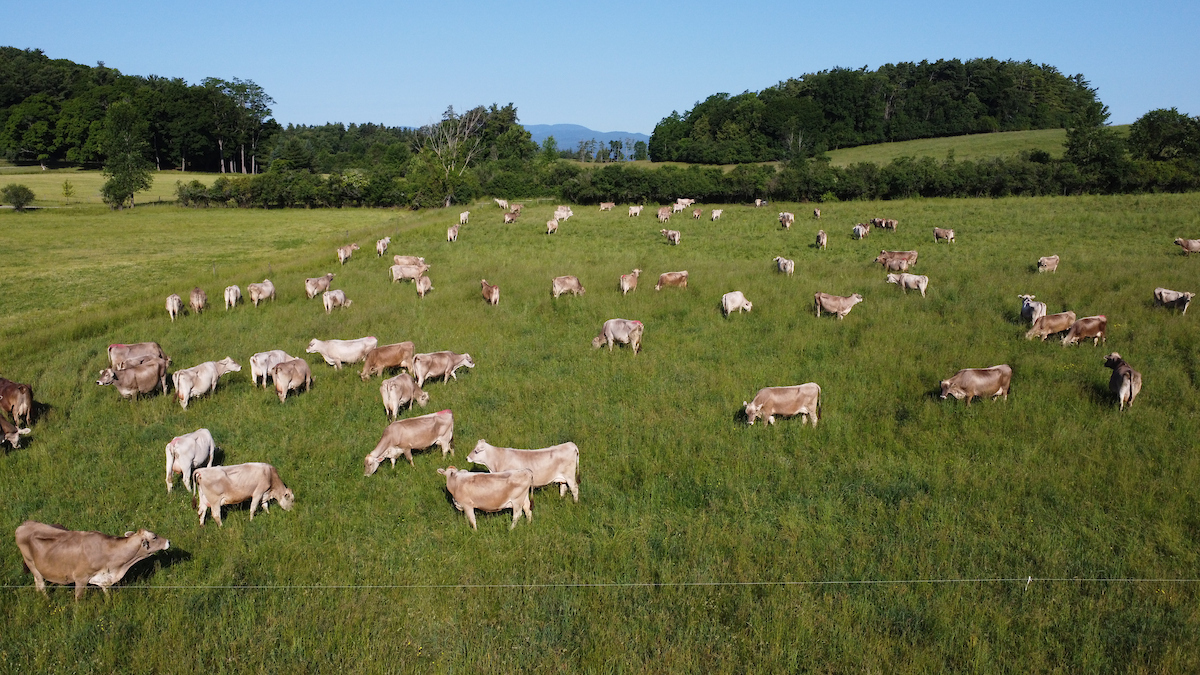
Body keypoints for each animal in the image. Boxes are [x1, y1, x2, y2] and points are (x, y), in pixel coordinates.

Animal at [15, 521, 170, 600]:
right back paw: (47, 600)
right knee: (41, 584)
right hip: (32, 564)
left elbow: (106, 591)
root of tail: (24, 524)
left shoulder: (104, 576)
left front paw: (108, 602)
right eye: (154, 537)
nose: (168, 541)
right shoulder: (80, 578)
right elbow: (79, 598)